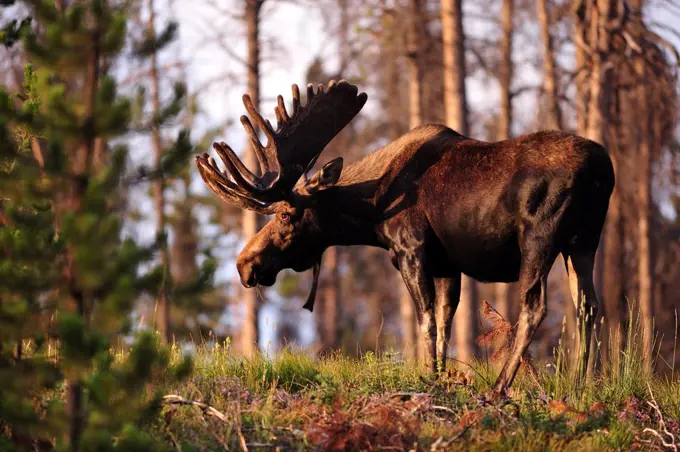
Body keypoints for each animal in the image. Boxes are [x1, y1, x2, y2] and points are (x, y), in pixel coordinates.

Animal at [194, 79, 612, 394]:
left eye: (284, 214)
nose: (245, 264)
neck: (372, 209)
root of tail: (601, 170)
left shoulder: (411, 249)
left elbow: (426, 320)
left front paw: (429, 379)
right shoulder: (447, 265)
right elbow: (445, 323)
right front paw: (442, 377)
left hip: (540, 239)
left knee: (535, 307)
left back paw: (500, 387)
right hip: (584, 241)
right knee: (588, 307)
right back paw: (581, 384)